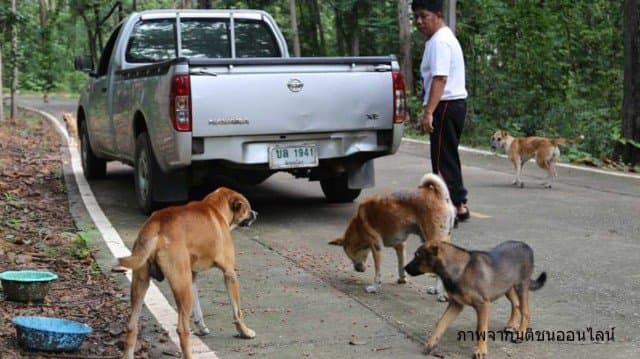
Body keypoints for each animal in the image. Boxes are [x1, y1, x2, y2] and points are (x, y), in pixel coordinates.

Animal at [117, 188, 258, 359]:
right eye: (248, 208)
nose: (256, 213)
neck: (215, 208)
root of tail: (156, 222)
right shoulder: (229, 274)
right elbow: (237, 312)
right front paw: (245, 331)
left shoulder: (192, 278)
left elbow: (197, 310)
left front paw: (201, 327)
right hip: (181, 287)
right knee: (182, 329)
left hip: (141, 283)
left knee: (132, 325)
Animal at [404, 240, 544, 358]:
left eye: (417, 255)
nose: (404, 268)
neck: (460, 269)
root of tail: (526, 246)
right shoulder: (456, 304)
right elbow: (441, 323)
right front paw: (430, 344)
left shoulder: (483, 305)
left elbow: (481, 328)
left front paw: (481, 351)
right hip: (507, 287)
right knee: (516, 304)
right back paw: (511, 325)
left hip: (521, 286)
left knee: (525, 311)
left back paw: (520, 334)